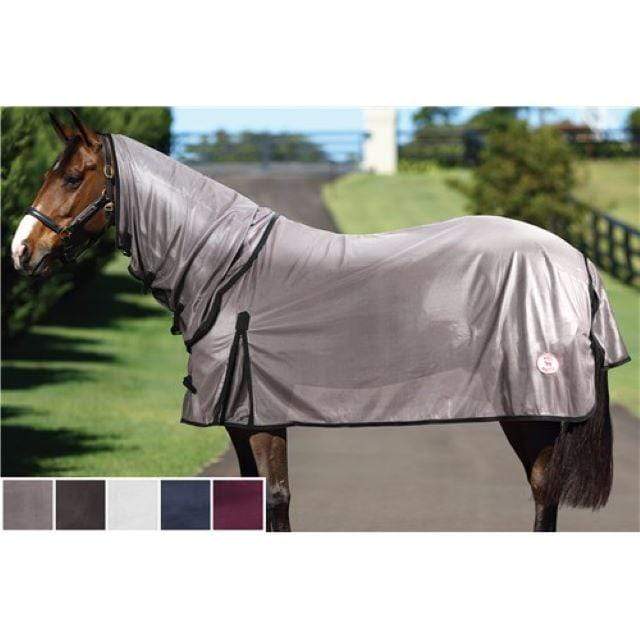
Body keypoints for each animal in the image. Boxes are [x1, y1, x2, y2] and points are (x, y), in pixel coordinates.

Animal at [11, 111, 629, 532]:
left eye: (73, 178)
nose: (21, 249)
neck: (229, 268)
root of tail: (577, 260)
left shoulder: (261, 416)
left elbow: (276, 501)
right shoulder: (243, 420)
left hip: (530, 409)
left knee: (544, 491)